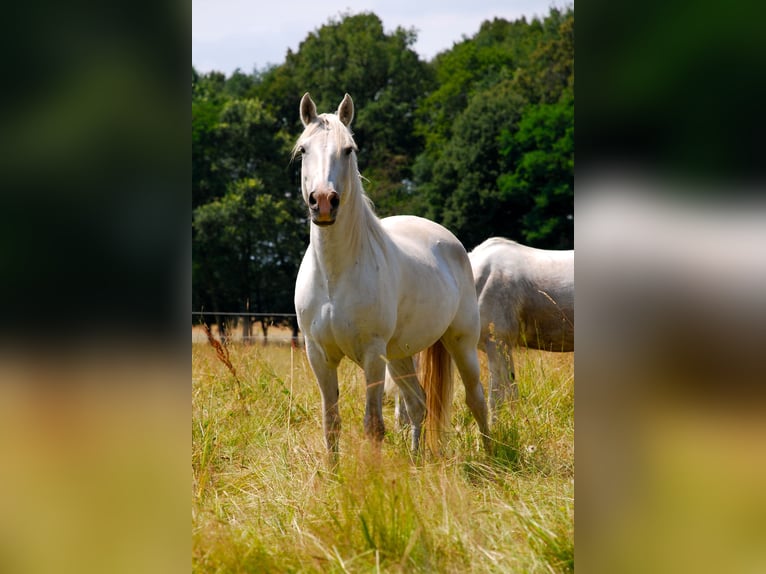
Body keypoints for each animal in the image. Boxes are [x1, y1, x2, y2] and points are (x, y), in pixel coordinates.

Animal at [292, 92, 488, 466]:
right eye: (304, 149)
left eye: (348, 149)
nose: (323, 202)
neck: (335, 277)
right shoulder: (318, 354)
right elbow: (331, 422)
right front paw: (333, 474)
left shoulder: (372, 354)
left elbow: (373, 425)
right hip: (399, 356)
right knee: (418, 404)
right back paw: (415, 460)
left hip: (461, 343)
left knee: (477, 400)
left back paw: (493, 456)